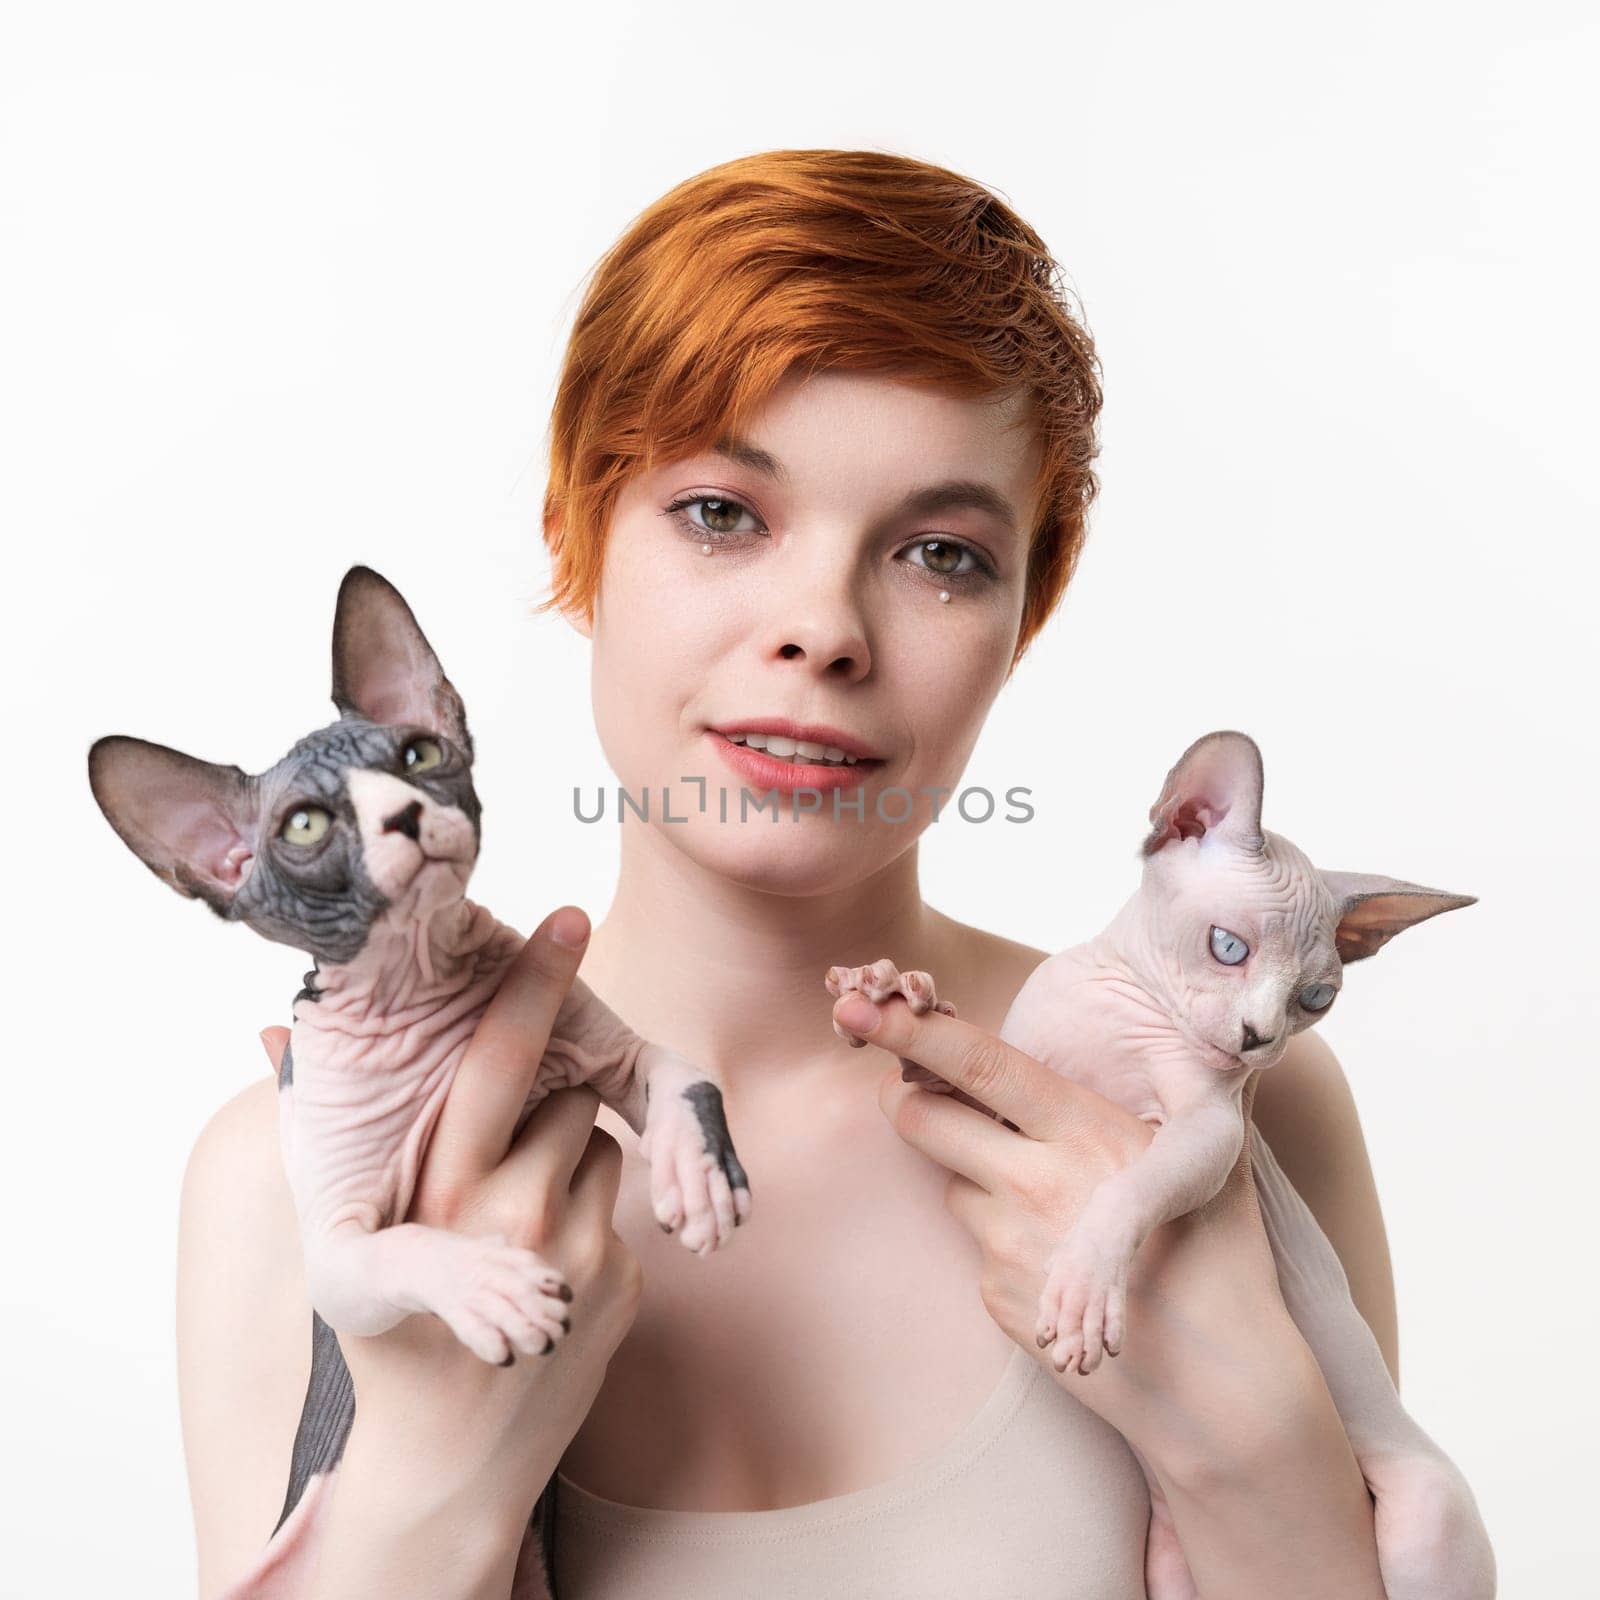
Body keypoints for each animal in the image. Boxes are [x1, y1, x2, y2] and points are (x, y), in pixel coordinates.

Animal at [90, 569, 752, 1593]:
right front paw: (489, 1286)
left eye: (420, 753)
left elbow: (687, 1074)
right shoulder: (337, 1252)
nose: (405, 814)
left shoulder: (612, 1047)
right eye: (306, 825)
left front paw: (698, 1178)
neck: (422, 982)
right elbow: (405, 1246)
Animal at [832, 729, 1491, 1600]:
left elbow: (1131, 1185)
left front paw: (1083, 1287)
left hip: (1426, 1517)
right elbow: (935, 1069)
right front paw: (893, 987)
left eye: (1315, 1000)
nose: (1257, 1039)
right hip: (1171, 1570)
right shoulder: (1008, 1101)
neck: (1122, 1010)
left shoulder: (1208, 1130)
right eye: (1228, 947)